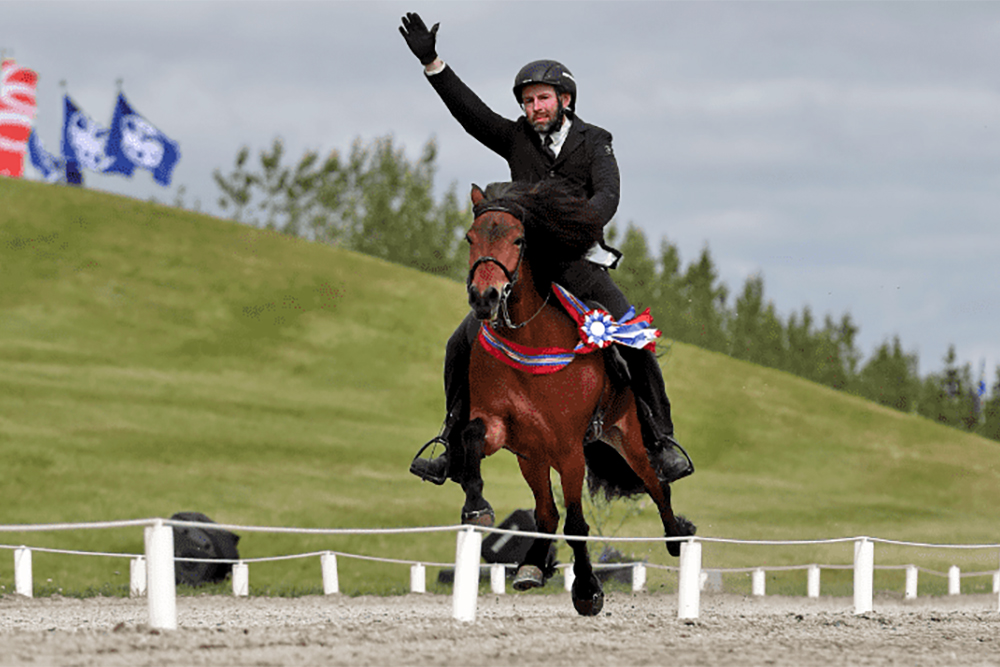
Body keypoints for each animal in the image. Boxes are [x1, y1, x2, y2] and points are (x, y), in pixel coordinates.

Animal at [458, 181, 692, 616]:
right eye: (470, 237)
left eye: (518, 240)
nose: (485, 297)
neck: (531, 339)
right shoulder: (508, 433)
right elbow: (471, 436)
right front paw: (476, 507)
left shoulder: (569, 449)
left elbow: (578, 524)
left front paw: (586, 589)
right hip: (534, 457)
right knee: (545, 512)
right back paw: (532, 566)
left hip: (626, 436)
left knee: (656, 483)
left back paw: (677, 534)